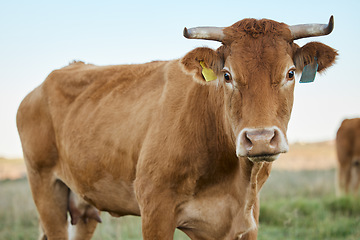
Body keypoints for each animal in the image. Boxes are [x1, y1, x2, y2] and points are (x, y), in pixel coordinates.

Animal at [16, 15, 338, 239]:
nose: (260, 139)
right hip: (45, 187)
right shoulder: (156, 211)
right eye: (227, 75)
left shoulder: (246, 220)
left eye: (290, 73)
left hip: (81, 206)